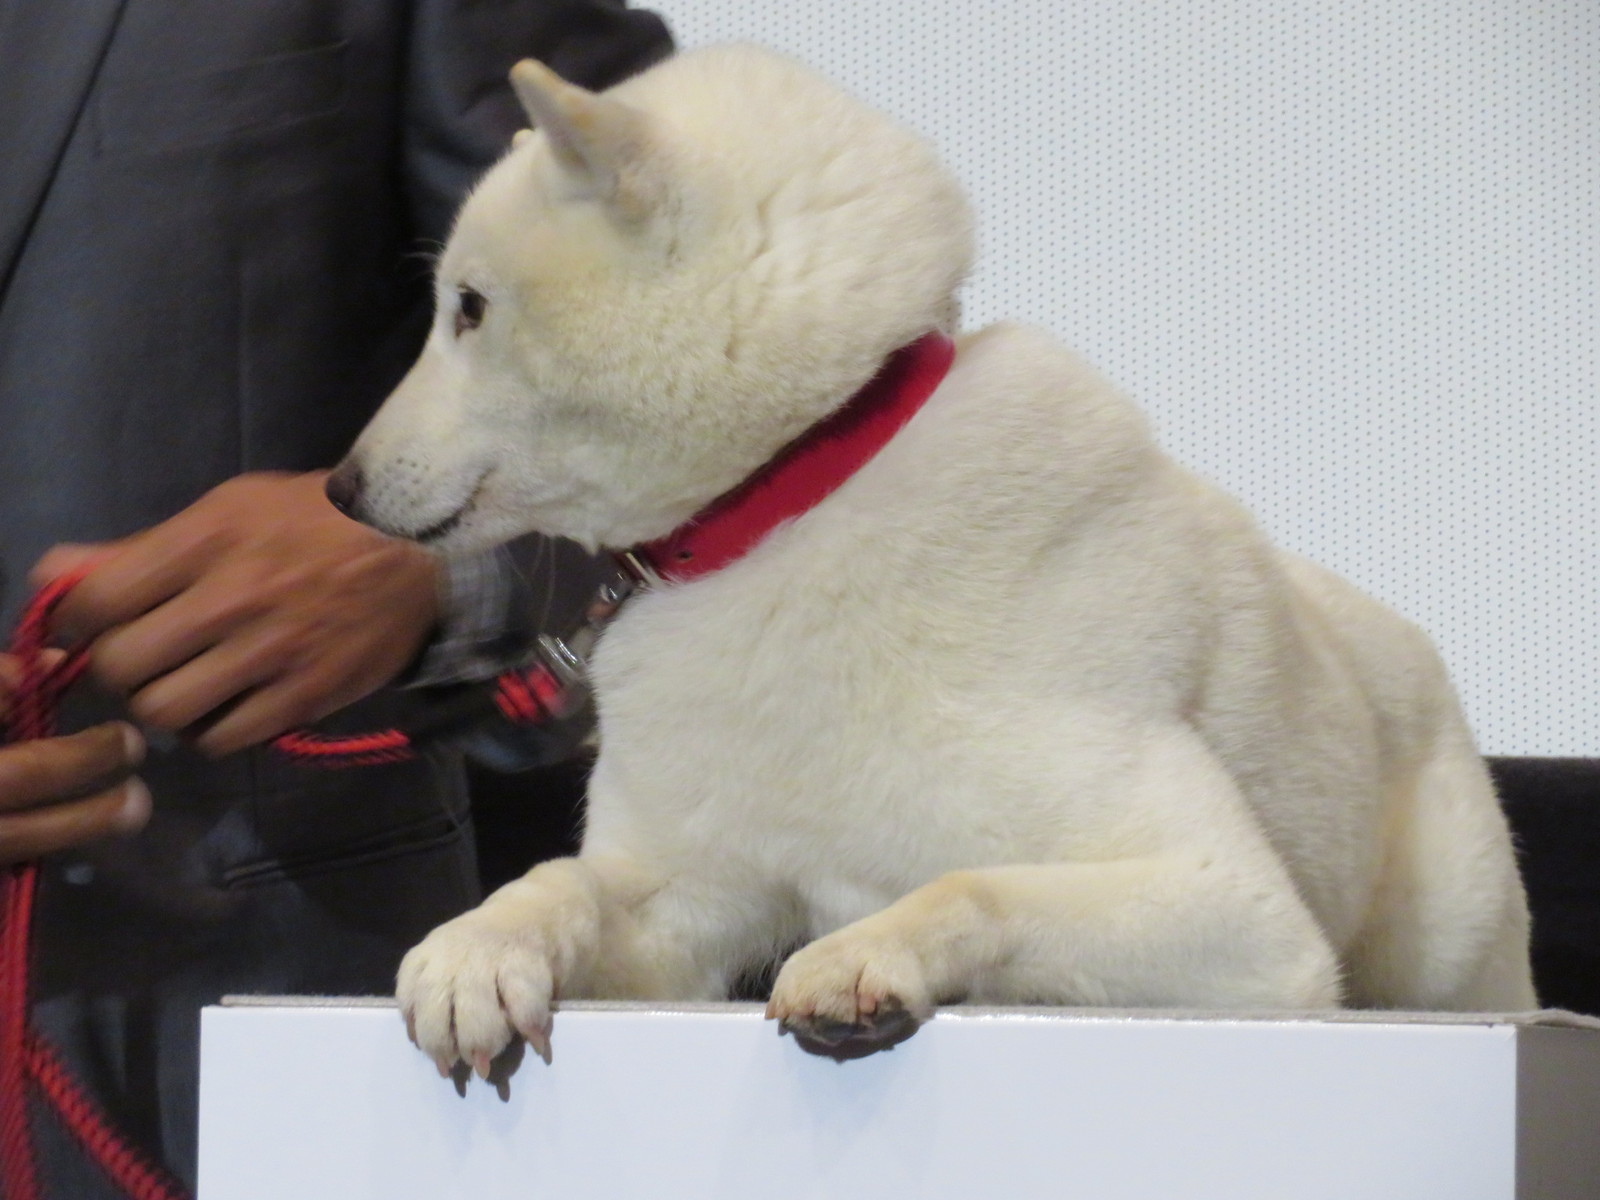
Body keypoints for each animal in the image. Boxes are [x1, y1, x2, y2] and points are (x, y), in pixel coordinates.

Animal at [328, 44, 1536, 1068]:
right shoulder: (682, 910)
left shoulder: (1240, 913)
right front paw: (480, 948)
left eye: (469, 308)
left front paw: (868, 951)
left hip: (1442, 953)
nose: (338, 489)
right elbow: (558, 882)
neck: (796, 496)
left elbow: (971, 886)